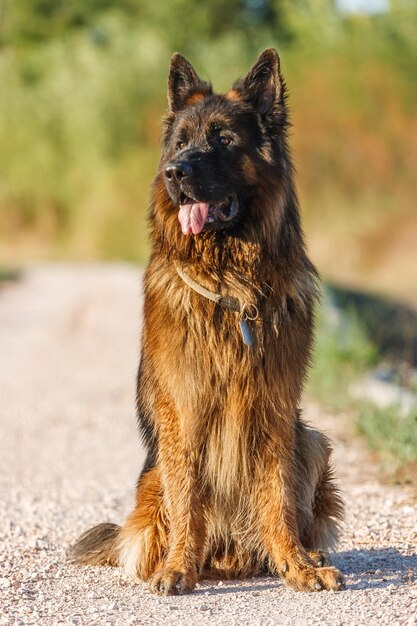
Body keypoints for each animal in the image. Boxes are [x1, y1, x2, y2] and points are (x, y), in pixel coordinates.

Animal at [69, 47, 344, 588]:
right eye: (180, 143)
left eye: (223, 140)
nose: (175, 172)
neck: (230, 281)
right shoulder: (185, 408)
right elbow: (188, 500)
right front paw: (180, 567)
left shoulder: (274, 406)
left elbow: (277, 495)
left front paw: (297, 566)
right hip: (152, 480)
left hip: (312, 440)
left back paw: (296, 553)